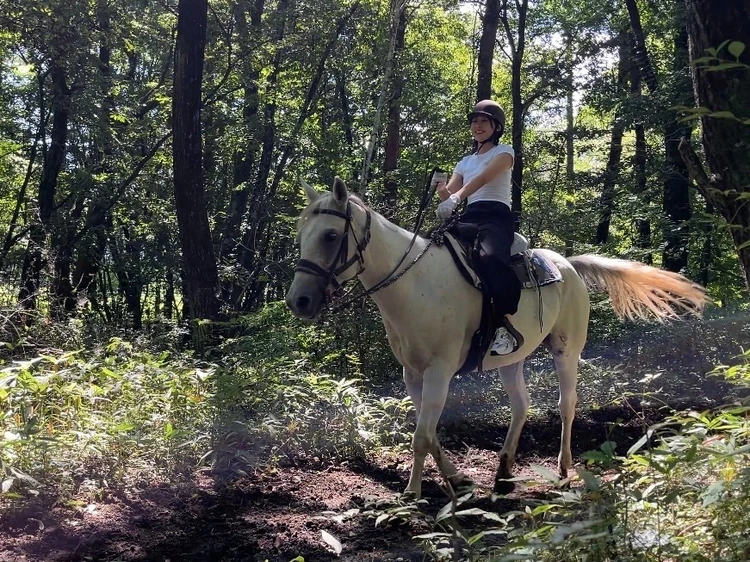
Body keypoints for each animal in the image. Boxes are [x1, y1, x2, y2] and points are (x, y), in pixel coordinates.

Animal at [285, 177, 707, 498]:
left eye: (331, 235)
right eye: (301, 235)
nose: (298, 301)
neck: (415, 284)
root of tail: (569, 264)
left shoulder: (439, 371)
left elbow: (422, 436)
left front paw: (412, 494)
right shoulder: (413, 374)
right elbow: (428, 432)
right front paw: (457, 478)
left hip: (566, 351)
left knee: (567, 404)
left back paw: (564, 467)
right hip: (512, 360)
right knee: (521, 406)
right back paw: (503, 470)